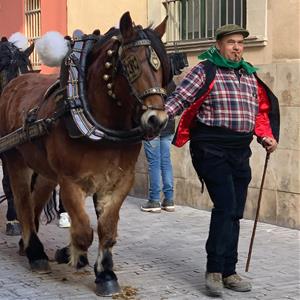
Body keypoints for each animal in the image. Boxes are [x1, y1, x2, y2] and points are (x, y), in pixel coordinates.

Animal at [0, 11, 170, 296]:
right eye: (131, 64)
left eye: (161, 66)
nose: (157, 120)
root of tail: (14, 85)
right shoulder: (70, 181)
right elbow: (83, 230)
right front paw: (74, 254)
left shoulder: (118, 182)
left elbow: (106, 228)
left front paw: (106, 273)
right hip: (15, 160)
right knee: (22, 201)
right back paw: (35, 251)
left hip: (45, 171)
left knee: (36, 201)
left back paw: (28, 244)